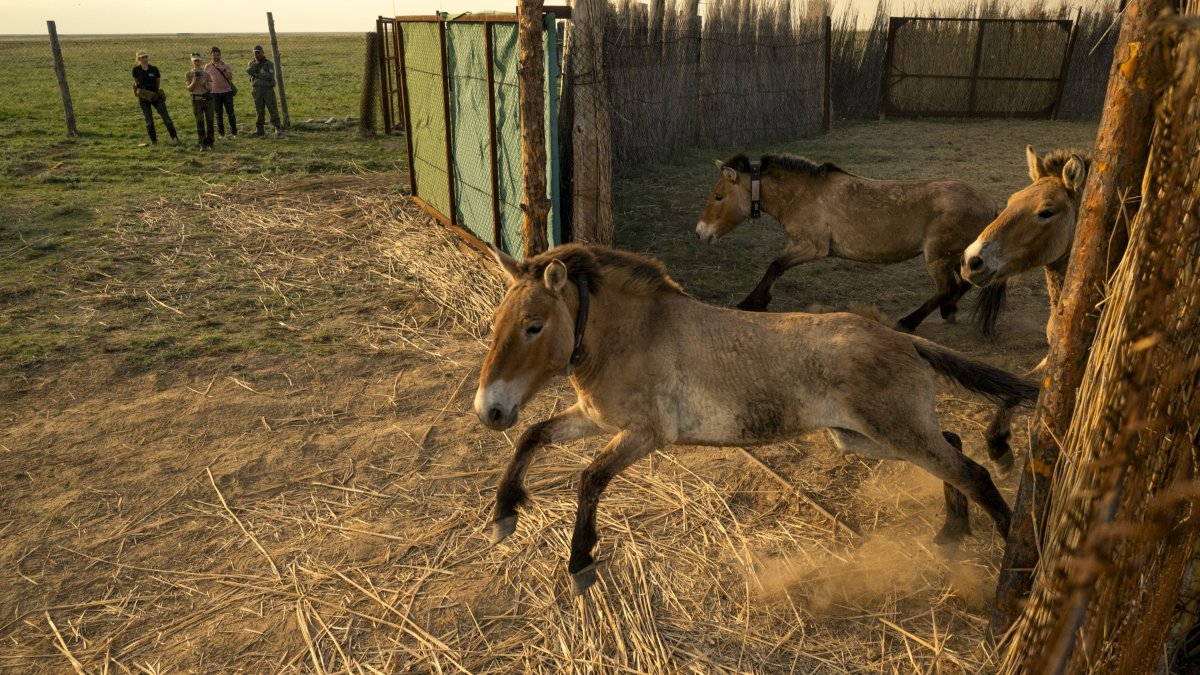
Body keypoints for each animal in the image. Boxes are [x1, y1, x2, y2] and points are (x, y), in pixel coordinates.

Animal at [474, 243, 1037, 595]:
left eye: (533, 326)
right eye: (496, 321)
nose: (489, 410)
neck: (632, 335)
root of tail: (905, 340)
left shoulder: (645, 434)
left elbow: (590, 478)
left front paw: (580, 563)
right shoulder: (597, 419)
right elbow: (533, 436)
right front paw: (504, 516)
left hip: (893, 432)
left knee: (972, 471)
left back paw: (1015, 568)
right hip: (867, 437)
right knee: (955, 447)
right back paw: (951, 535)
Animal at [694, 153, 1007, 336]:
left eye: (719, 197)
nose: (700, 233)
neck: (802, 193)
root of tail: (990, 203)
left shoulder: (812, 246)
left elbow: (775, 266)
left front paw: (752, 302)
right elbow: (776, 267)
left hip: (938, 257)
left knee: (946, 288)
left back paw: (908, 322)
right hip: (960, 257)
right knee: (961, 285)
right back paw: (948, 310)